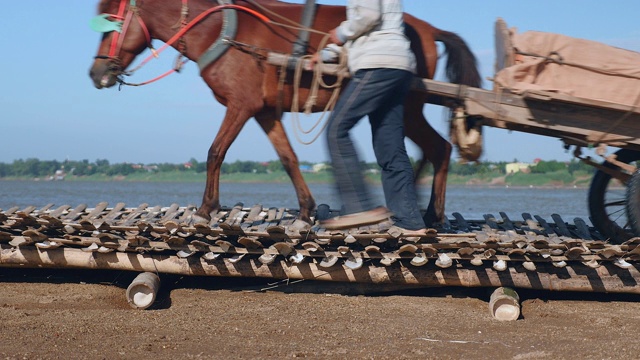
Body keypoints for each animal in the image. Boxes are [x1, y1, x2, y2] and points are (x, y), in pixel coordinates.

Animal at [89, 0, 480, 225]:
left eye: (109, 22)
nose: (96, 73)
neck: (220, 31)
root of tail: (428, 29)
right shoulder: (263, 111)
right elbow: (288, 158)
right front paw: (306, 210)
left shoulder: (241, 105)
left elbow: (215, 152)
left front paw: (206, 208)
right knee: (433, 149)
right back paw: (419, 208)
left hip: (409, 105)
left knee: (439, 148)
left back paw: (430, 213)